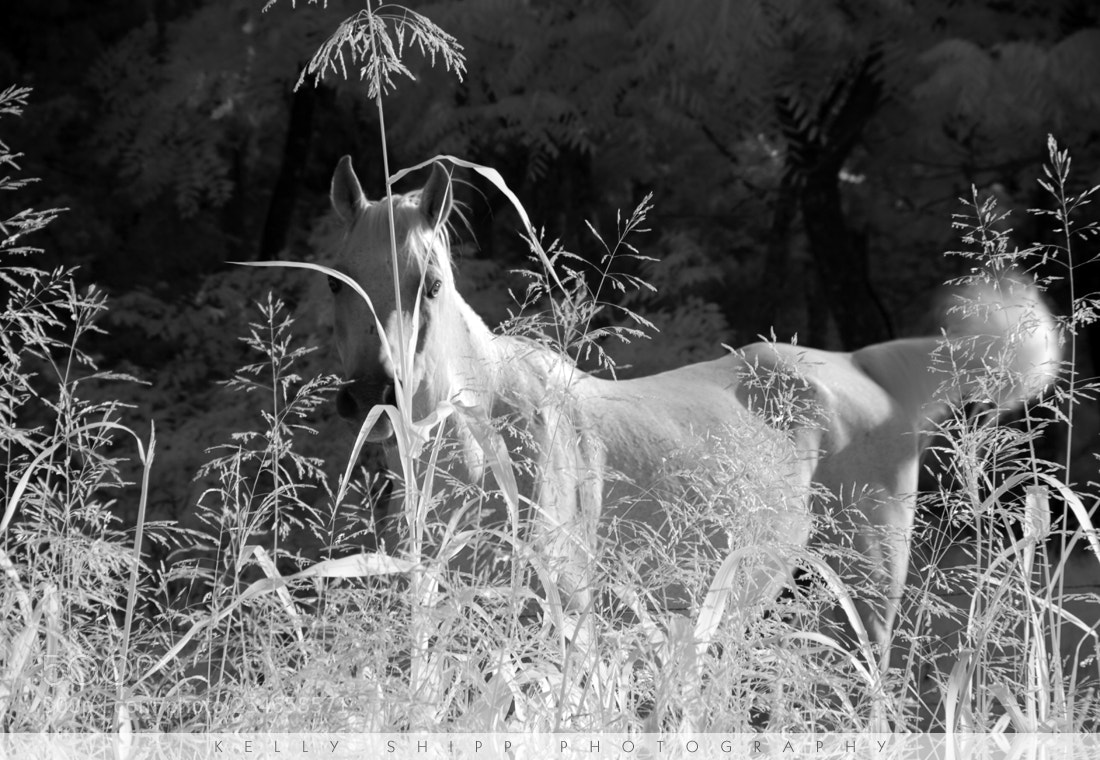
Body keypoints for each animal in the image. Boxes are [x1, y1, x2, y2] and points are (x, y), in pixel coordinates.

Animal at [325, 157, 1060, 647]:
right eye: (335, 282)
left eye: (431, 282)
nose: (370, 393)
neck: (485, 441)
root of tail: (863, 367)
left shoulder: (563, 620)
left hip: (867, 597)